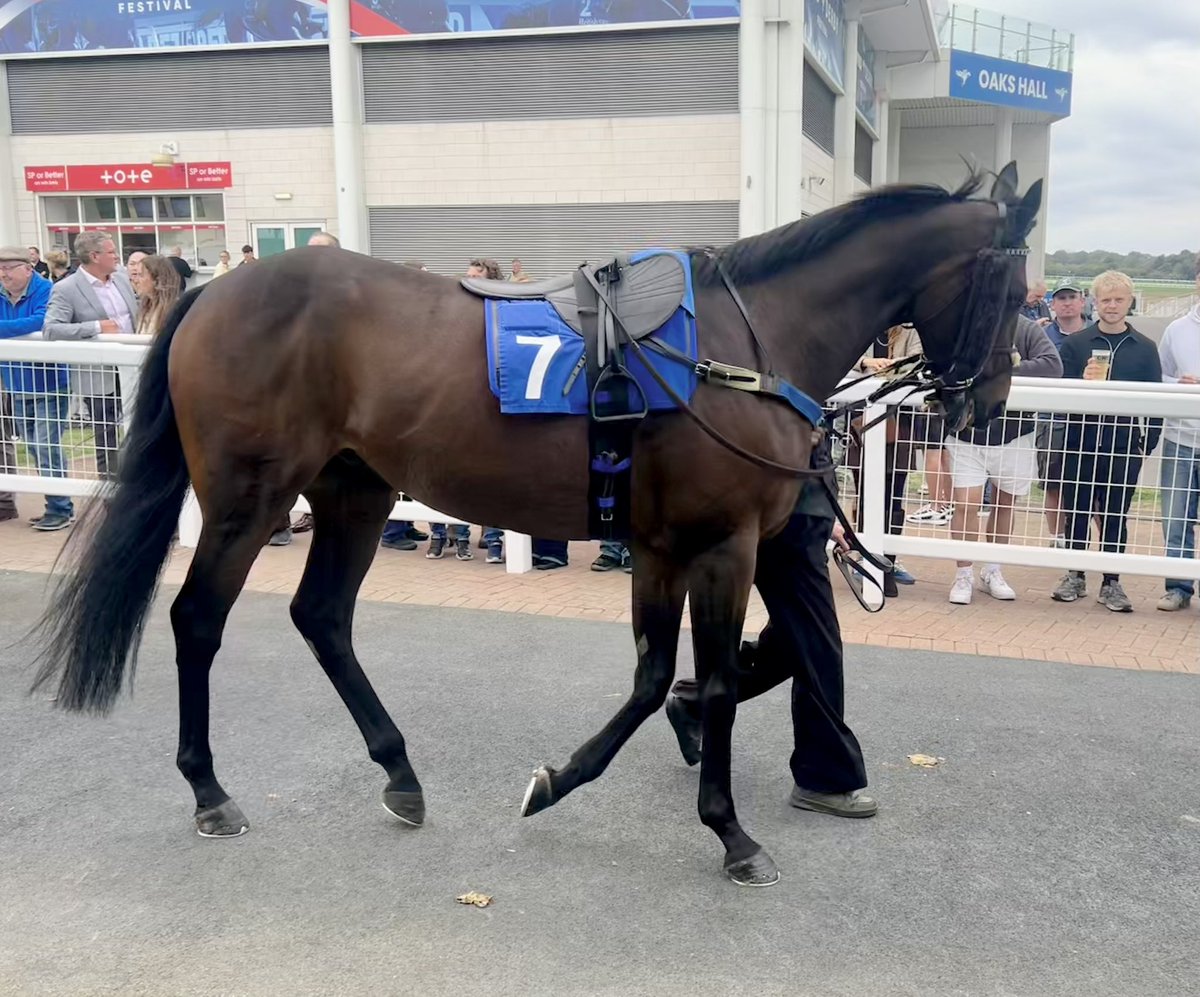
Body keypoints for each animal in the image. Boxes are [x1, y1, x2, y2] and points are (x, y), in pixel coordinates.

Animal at [34, 163, 1041, 887]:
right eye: (1015, 287)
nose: (988, 404)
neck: (743, 345)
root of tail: (212, 290)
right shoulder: (722, 544)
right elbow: (713, 683)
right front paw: (730, 833)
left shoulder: (663, 546)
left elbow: (653, 678)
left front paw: (559, 780)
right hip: (250, 499)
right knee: (197, 619)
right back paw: (210, 790)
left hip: (355, 492)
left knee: (321, 616)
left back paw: (399, 774)